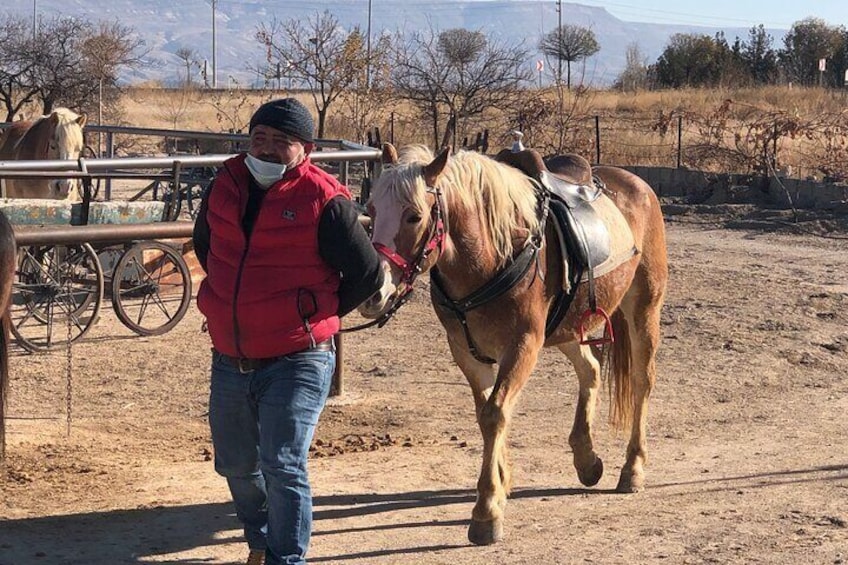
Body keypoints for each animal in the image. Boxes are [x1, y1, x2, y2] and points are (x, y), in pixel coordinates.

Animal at [358, 143, 668, 544]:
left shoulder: (523, 345)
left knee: (642, 382)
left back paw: (632, 469)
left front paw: (487, 511)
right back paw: (587, 459)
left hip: (644, 309)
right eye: (371, 210)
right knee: (591, 369)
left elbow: (495, 413)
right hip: (568, 327)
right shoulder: (467, 352)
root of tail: (636, 184)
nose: (374, 292)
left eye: (414, 216)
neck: (488, 259)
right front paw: (501, 483)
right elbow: (485, 413)